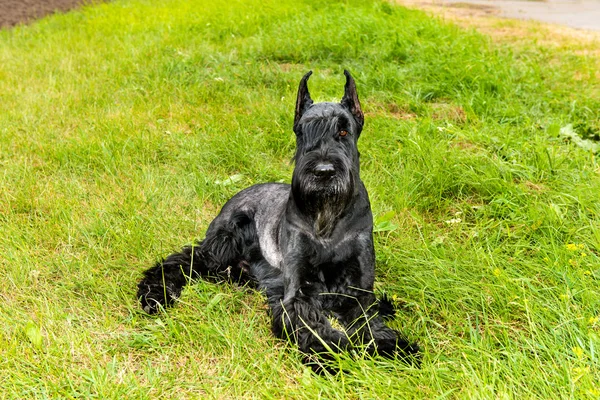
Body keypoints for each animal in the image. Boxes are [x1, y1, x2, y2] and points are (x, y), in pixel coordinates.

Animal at [137, 71, 418, 366]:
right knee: (184, 260)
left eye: (343, 131)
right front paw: (330, 357)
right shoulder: (298, 290)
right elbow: (311, 325)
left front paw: (394, 347)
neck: (327, 222)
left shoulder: (358, 288)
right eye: (303, 131)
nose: (323, 172)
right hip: (224, 241)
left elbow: (368, 321)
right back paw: (154, 294)